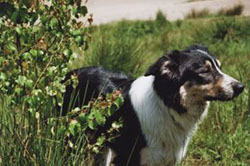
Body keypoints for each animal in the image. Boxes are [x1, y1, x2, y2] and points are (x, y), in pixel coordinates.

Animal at [61, 44, 244, 165]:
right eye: (204, 71)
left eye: (219, 67)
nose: (241, 87)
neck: (167, 107)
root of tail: (67, 76)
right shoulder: (129, 158)